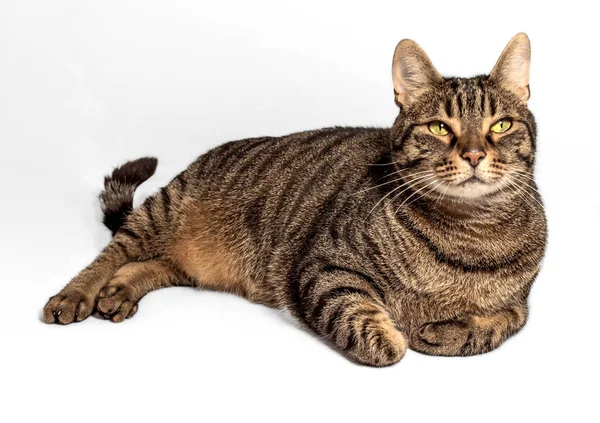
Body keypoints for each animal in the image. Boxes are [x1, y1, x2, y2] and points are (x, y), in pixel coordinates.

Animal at [43, 34, 548, 368]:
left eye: (500, 125)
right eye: (440, 127)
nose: (474, 154)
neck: (469, 233)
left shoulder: (521, 304)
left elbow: (500, 325)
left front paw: (445, 332)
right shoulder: (323, 269)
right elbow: (370, 330)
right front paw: (398, 336)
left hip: (190, 265)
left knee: (150, 265)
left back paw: (118, 294)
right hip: (162, 211)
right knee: (113, 253)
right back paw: (78, 294)